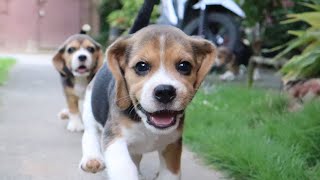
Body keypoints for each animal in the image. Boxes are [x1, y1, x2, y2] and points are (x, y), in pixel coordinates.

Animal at [79, 25, 216, 180]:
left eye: (184, 66)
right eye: (141, 66)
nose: (165, 92)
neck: (144, 123)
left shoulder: (172, 144)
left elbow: (170, 173)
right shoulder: (115, 138)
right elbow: (125, 168)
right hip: (90, 108)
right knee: (90, 133)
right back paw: (92, 158)